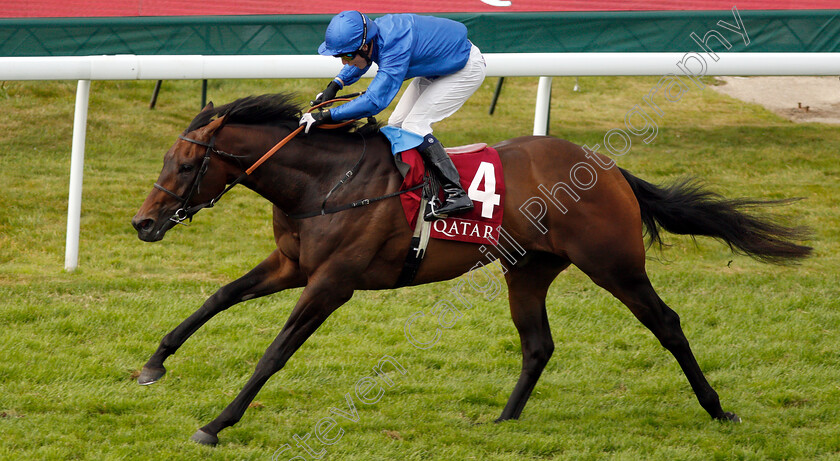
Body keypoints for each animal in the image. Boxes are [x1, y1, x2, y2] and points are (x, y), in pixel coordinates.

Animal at [133, 92, 812, 442]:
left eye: (185, 164)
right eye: (166, 159)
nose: (142, 223)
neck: (328, 182)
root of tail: (610, 168)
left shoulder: (332, 283)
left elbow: (275, 351)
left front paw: (216, 423)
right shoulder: (292, 264)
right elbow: (219, 296)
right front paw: (154, 363)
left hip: (613, 264)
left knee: (667, 323)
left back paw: (718, 409)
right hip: (529, 267)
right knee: (538, 343)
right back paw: (503, 420)